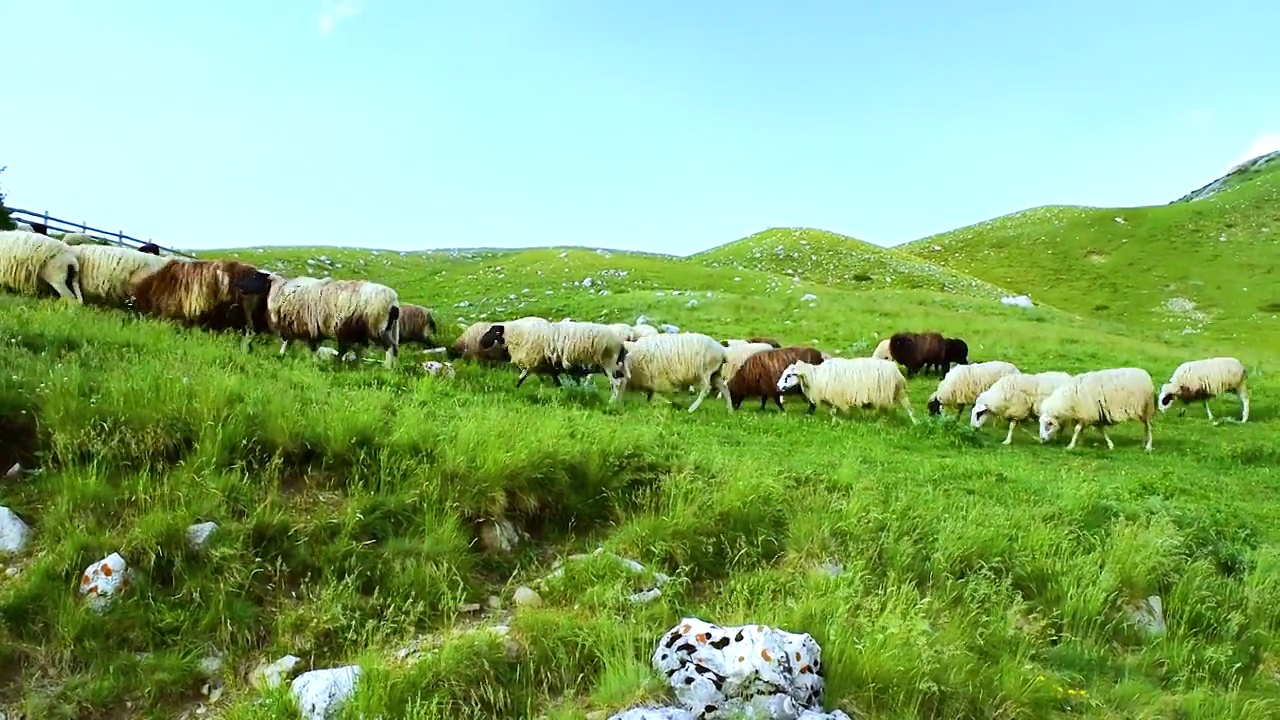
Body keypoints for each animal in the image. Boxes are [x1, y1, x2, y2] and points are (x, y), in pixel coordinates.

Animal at [478, 319, 627, 392]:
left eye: (494, 332)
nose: (482, 342)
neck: (514, 334)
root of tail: (620, 343)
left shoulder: (533, 360)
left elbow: (522, 376)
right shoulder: (549, 366)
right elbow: (556, 382)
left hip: (608, 364)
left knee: (617, 384)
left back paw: (613, 402)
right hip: (614, 366)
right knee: (622, 381)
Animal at [773, 356, 916, 420]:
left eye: (789, 375)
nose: (778, 386)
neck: (816, 376)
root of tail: (895, 370)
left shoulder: (835, 396)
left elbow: (834, 411)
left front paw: (835, 421)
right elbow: (834, 411)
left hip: (887, 394)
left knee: (904, 408)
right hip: (896, 392)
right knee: (906, 407)